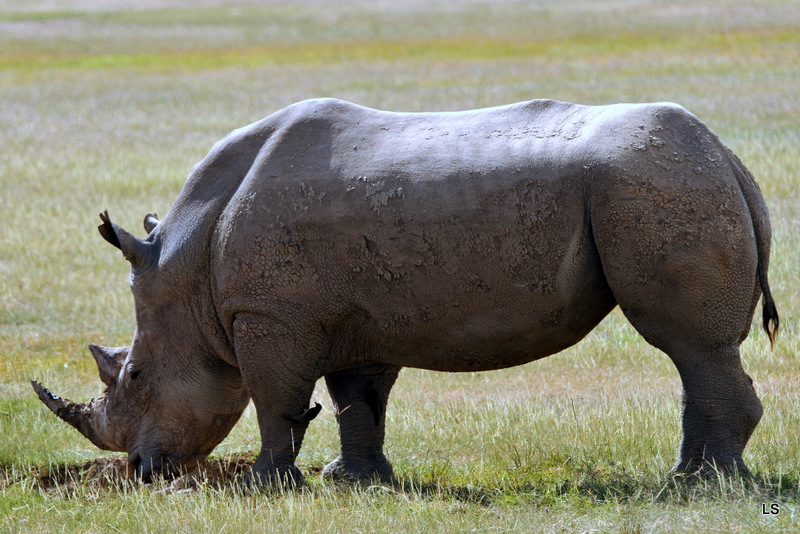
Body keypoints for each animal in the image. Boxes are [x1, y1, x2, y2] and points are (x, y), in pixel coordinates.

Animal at [34, 98, 780, 488]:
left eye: (133, 373)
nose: (141, 469)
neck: (188, 272)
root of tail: (729, 156)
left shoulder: (269, 315)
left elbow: (276, 401)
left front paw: (267, 483)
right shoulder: (355, 318)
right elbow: (356, 402)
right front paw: (352, 481)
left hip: (653, 184)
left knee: (691, 346)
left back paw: (707, 486)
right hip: (669, 181)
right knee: (693, 354)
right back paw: (689, 478)